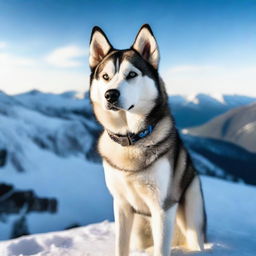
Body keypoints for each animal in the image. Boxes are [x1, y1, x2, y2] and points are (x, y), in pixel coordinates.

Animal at [89, 24, 207, 256]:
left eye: (132, 74)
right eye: (106, 76)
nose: (110, 95)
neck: (131, 140)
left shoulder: (162, 207)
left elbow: (161, 249)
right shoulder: (121, 205)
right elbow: (120, 246)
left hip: (192, 206)